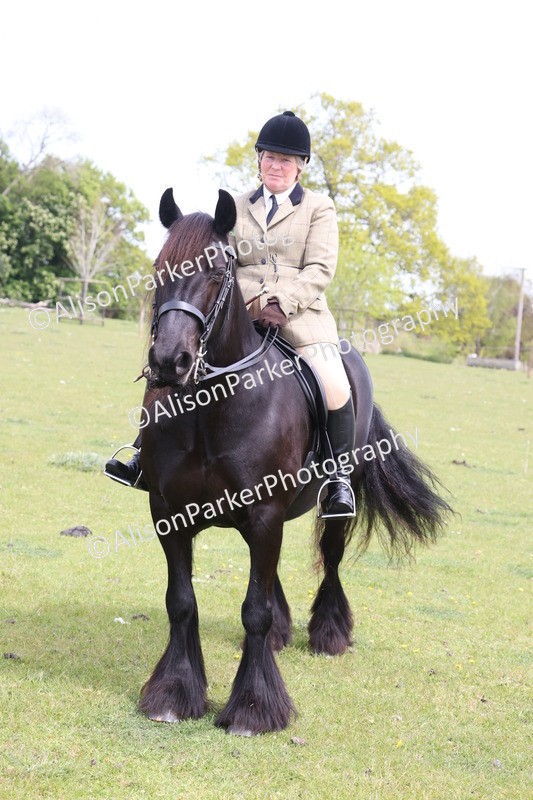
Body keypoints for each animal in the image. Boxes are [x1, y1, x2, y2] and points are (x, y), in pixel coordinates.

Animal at [136, 187, 453, 736]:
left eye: (217, 270)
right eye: (159, 267)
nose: (169, 363)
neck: (211, 406)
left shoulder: (264, 513)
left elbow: (254, 611)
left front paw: (253, 707)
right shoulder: (168, 512)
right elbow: (182, 602)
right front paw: (173, 693)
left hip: (327, 506)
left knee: (331, 558)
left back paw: (328, 632)